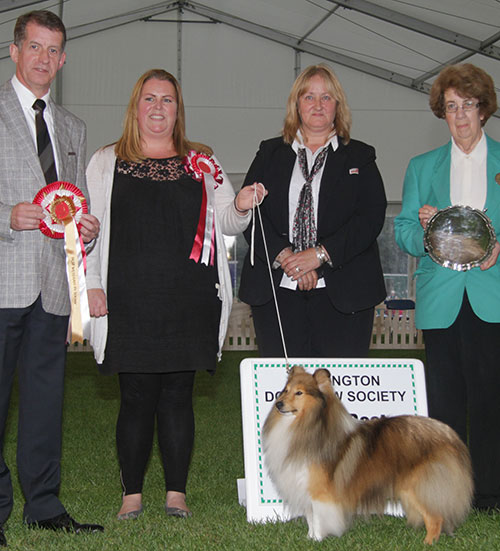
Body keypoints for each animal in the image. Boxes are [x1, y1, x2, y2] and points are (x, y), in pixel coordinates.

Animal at [262, 368, 472, 544]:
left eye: (299, 393)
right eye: (285, 390)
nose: (278, 404)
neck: (304, 425)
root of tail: (449, 434)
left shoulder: (319, 491)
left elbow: (319, 517)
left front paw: (319, 539)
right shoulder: (303, 485)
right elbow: (311, 517)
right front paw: (310, 538)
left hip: (419, 487)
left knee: (436, 517)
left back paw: (427, 543)